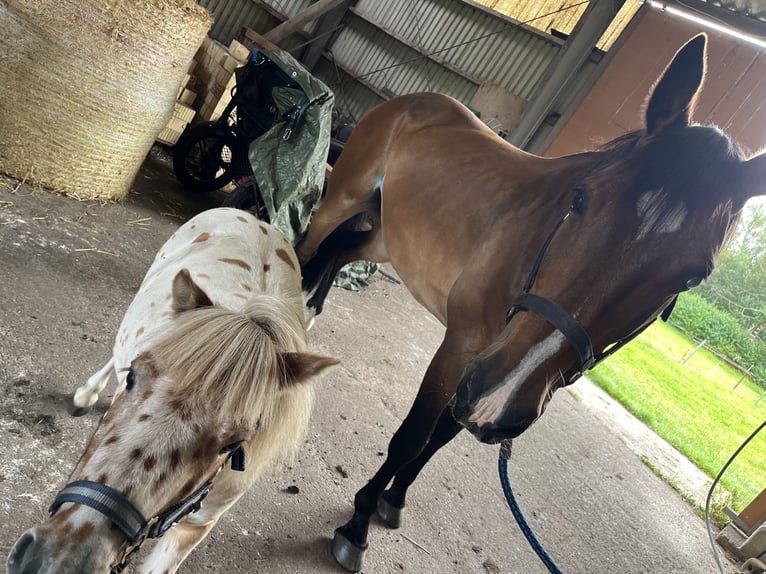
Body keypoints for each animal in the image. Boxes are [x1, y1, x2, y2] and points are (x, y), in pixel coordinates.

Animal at [6, 208, 336, 574]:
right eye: (132, 377)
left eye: (233, 444)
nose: (52, 561)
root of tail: (258, 220)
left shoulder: (194, 528)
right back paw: (86, 394)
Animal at [296, 35, 766, 572]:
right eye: (580, 199)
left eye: (693, 275)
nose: (504, 394)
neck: (532, 253)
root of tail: (414, 100)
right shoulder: (463, 354)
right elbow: (412, 438)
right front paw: (356, 526)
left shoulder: (489, 380)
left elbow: (440, 439)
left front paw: (393, 502)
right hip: (345, 198)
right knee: (310, 246)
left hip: (385, 235)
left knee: (340, 252)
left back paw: (314, 304)